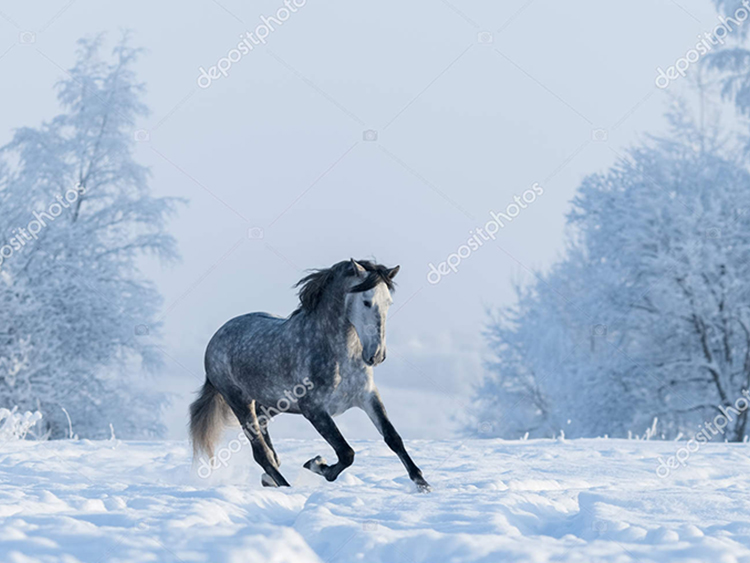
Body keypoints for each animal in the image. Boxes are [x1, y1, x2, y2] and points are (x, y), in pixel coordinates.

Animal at [189, 258, 431, 492]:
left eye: (389, 302)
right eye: (366, 302)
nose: (377, 355)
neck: (338, 354)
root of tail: (216, 338)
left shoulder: (368, 396)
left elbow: (393, 438)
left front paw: (422, 483)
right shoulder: (313, 409)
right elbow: (346, 453)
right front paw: (317, 464)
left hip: (271, 403)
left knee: (267, 442)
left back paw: (270, 478)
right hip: (239, 402)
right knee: (261, 453)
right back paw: (284, 485)